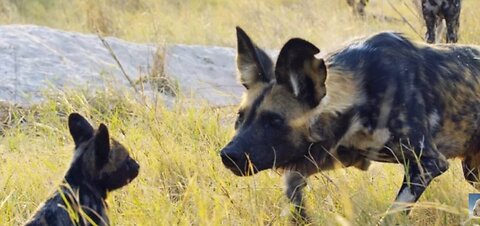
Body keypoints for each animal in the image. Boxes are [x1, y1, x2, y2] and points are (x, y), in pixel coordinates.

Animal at [221, 27, 480, 222]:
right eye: (240, 118)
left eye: (274, 120)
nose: (228, 155)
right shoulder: (328, 156)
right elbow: (293, 192)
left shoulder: (428, 162)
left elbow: (391, 215)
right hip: (472, 172)